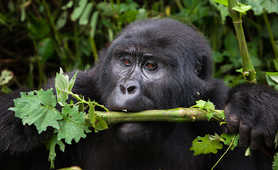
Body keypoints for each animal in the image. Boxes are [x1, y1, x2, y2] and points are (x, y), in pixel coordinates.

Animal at [0, 17, 278, 169]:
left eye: (151, 66)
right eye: (124, 62)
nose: (126, 87)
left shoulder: (215, 108)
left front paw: (253, 104)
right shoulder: (77, 87)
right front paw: (29, 119)